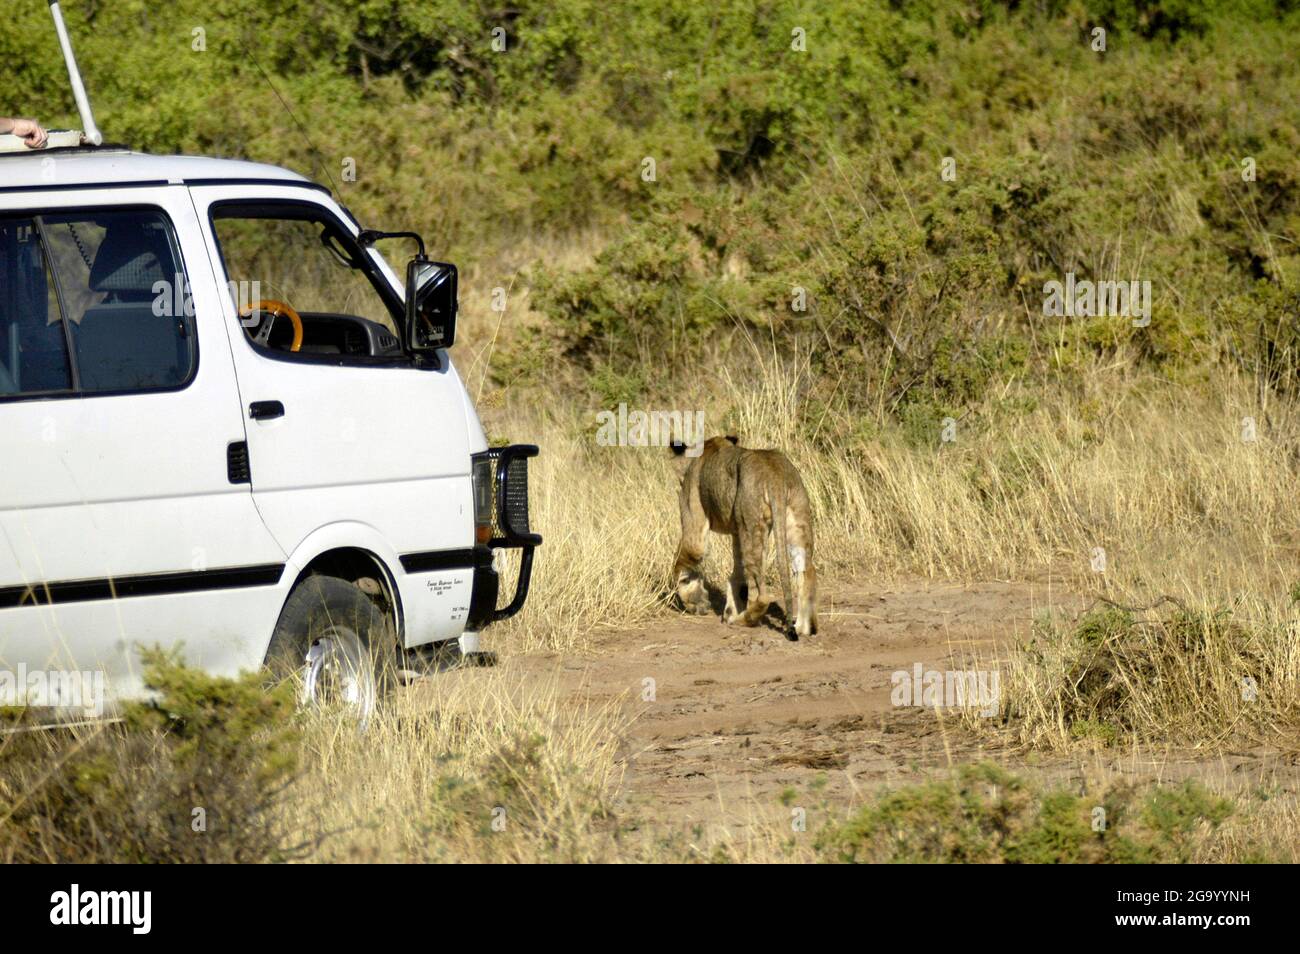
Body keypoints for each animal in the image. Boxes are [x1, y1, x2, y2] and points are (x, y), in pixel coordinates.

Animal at [670, 435, 818, 639]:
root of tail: (775, 475)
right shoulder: (736, 531)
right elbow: (737, 576)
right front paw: (729, 608)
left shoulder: (695, 526)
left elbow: (679, 565)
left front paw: (696, 601)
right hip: (796, 521)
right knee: (807, 572)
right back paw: (803, 628)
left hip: (752, 527)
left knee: (762, 595)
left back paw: (741, 620)